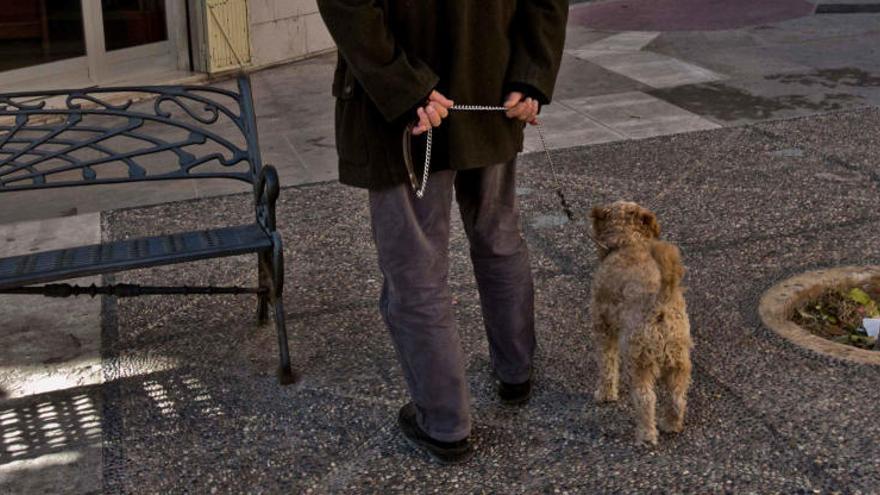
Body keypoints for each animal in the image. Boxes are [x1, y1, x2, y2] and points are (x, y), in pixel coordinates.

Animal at [592, 201, 696, 446]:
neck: (628, 243)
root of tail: (661, 302)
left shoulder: (603, 327)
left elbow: (607, 365)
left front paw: (605, 394)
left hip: (640, 359)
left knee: (646, 398)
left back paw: (646, 435)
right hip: (679, 358)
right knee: (678, 397)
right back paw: (671, 425)